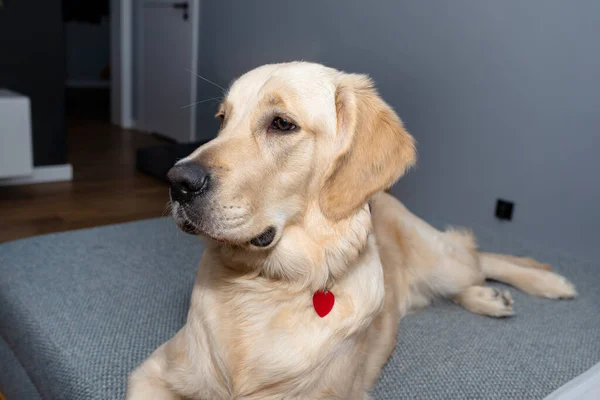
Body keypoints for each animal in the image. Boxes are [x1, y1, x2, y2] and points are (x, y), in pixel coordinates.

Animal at [127, 61, 576, 398]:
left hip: (441, 260)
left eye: (282, 124)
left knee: (478, 255)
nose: (177, 182)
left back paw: (548, 283)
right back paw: (489, 297)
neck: (266, 284)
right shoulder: (152, 373)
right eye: (222, 119)